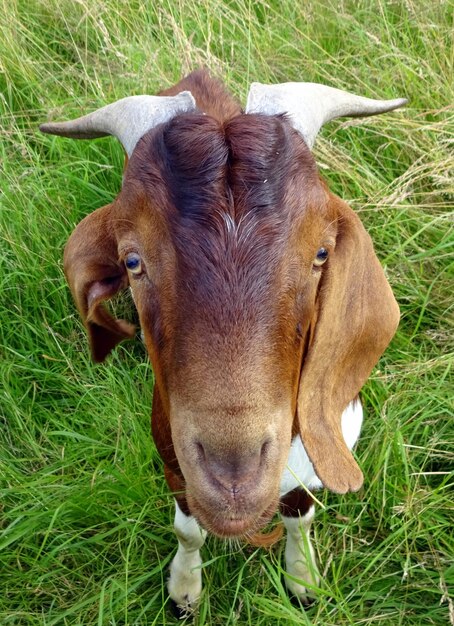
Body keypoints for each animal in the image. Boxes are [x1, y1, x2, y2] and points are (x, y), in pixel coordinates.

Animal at [40, 69, 404, 616]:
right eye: (132, 261)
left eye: (321, 253)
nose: (234, 480)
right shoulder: (174, 466)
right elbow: (188, 530)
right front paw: (184, 590)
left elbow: (300, 515)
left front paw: (302, 580)